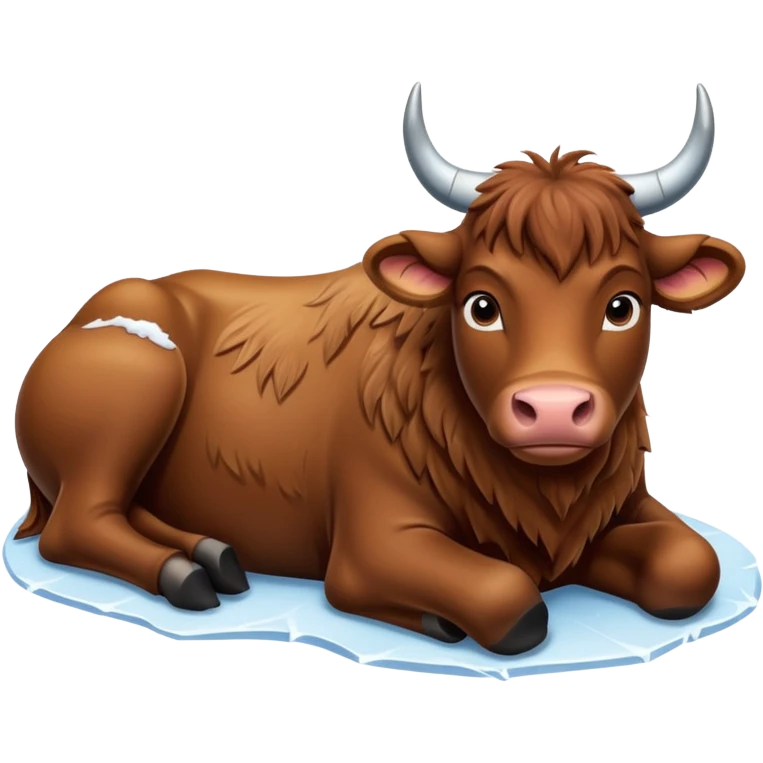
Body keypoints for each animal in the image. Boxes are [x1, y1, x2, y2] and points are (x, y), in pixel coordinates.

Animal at [14, 81, 746, 656]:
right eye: (481, 304)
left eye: (623, 304)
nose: (555, 410)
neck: (538, 495)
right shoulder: (371, 545)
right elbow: (509, 599)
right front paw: (439, 618)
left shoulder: (612, 506)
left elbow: (691, 564)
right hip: (138, 383)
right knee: (79, 522)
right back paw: (184, 573)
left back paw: (213, 554)